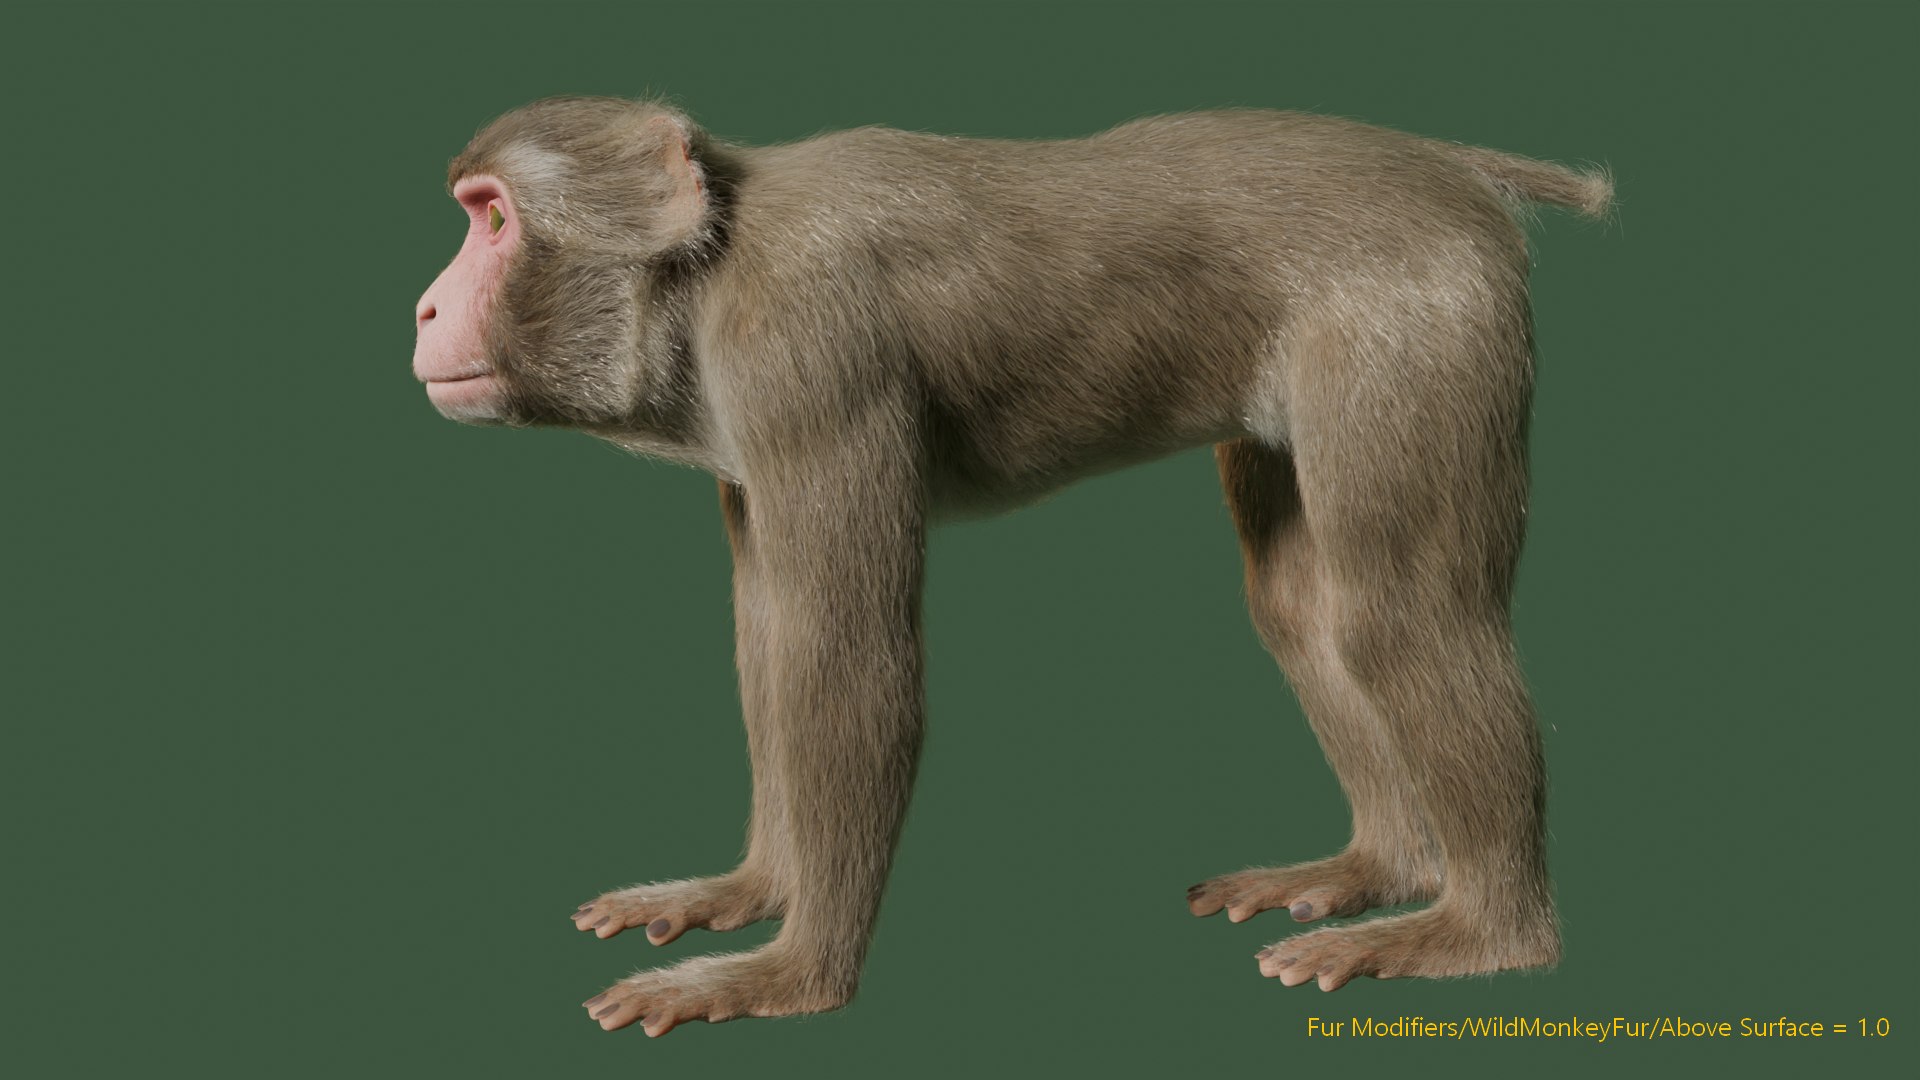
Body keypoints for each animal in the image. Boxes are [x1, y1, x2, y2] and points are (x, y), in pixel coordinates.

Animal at [411, 96, 1611, 1036]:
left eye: (492, 219)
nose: (424, 305)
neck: (711, 268)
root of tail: (1443, 165)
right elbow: (773, 633)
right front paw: (752, 889)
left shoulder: (806, 354)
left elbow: (848, 658)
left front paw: (793, 976)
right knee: (1304, 607)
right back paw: (1381, 868)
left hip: (1417, 319)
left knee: (1398, 613)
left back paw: (1486, 934)